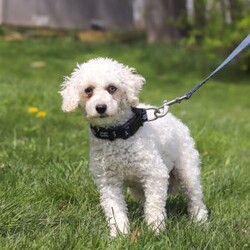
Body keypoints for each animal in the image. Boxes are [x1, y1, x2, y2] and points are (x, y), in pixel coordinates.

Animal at [59, 57, 208, 237]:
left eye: (112, 88)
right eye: (88, 90)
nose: (100, 107)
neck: (117, 136)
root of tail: (175, 119)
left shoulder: (155, 174)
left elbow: (154, 206)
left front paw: (155, 230)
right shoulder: (108, 183)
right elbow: (114, 210)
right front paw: (119, 233)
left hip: (187, 171)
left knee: (195, 198)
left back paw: (200, 220)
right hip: (138, 189)